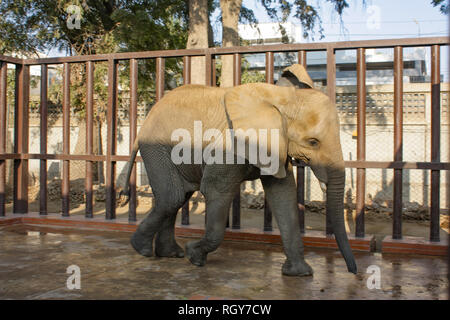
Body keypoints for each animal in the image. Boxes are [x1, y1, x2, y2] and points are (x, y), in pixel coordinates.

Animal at [118, 63, 356, 276]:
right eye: (313, 142)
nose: (354, 272)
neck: (281, 99)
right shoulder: (229, 145)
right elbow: (216, 190)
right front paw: (194, 256)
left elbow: (283, 194)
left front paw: (299, 274)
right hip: (156, 147)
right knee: (172, 197)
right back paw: (143, 249)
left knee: (178, 197)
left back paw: (170, 254)